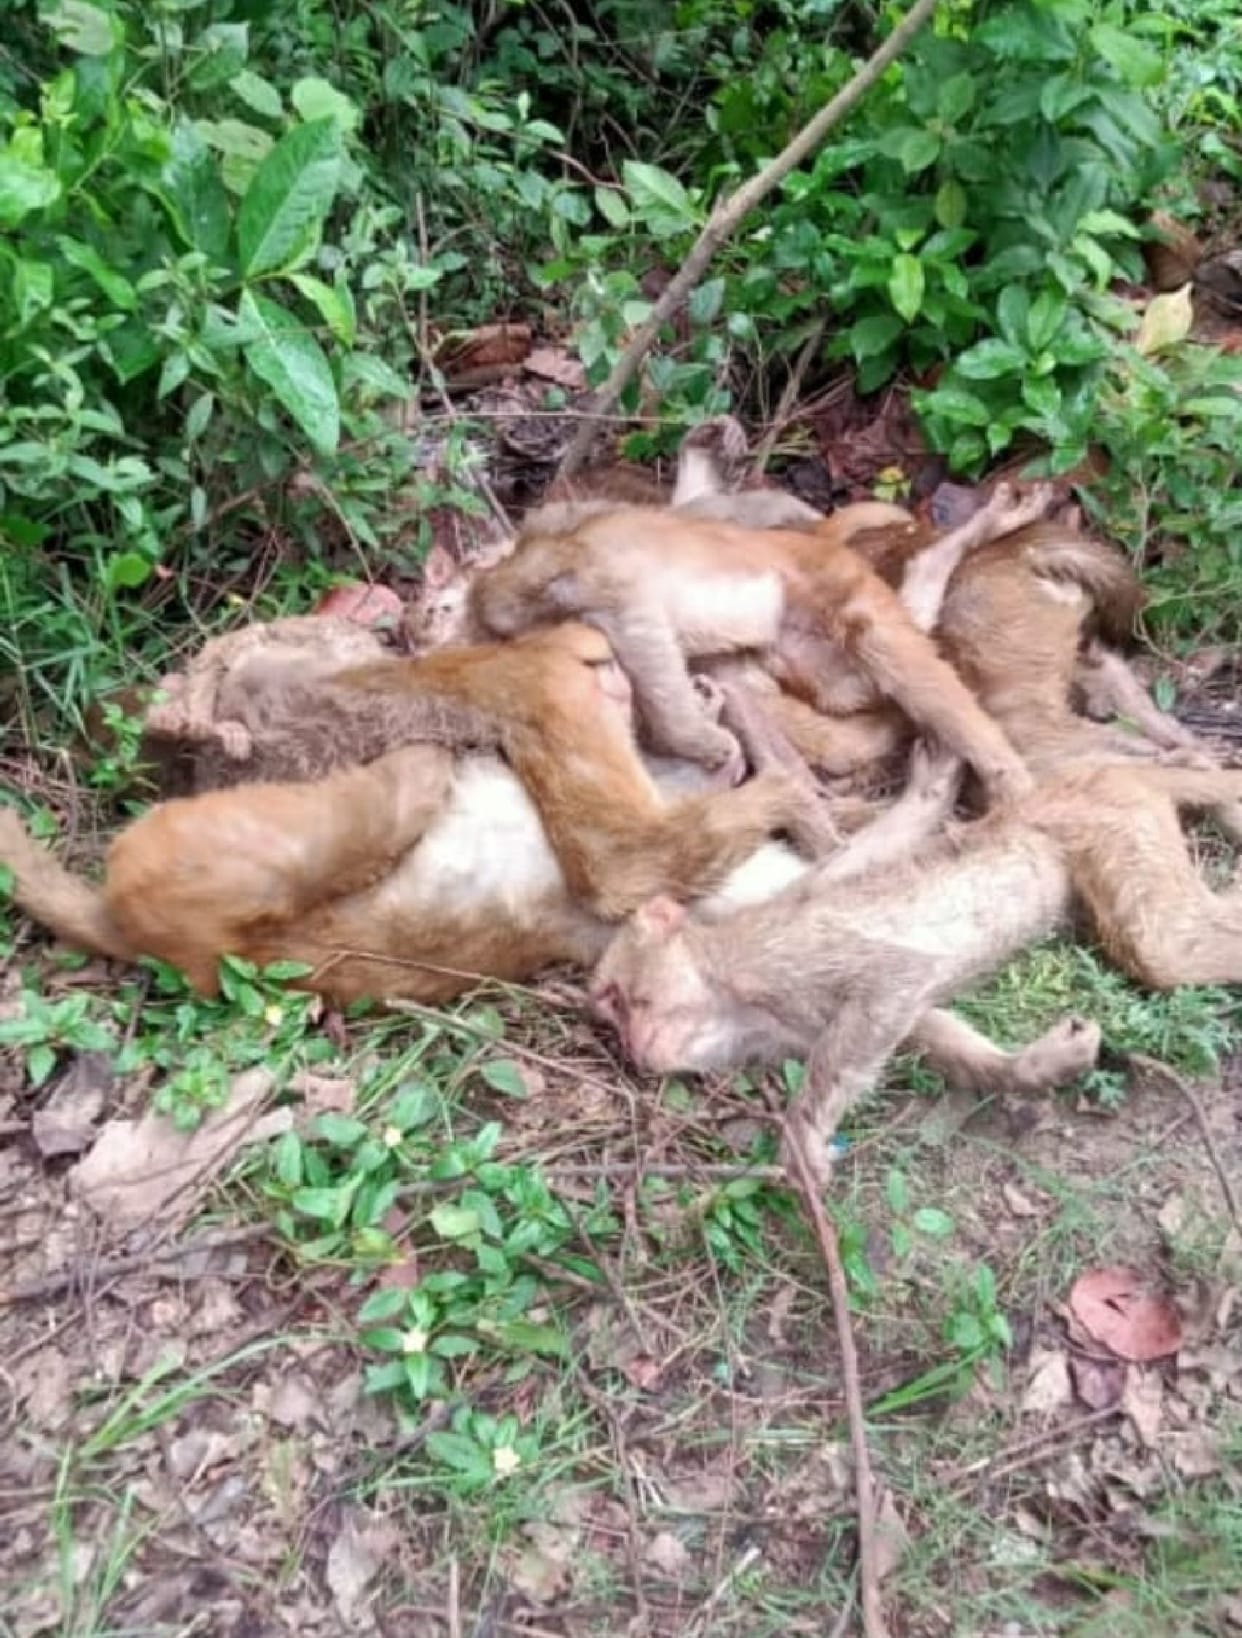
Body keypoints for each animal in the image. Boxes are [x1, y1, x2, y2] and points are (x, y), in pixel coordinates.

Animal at [589, 759, 1242, 1184]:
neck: (729, 995)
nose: (629, 1045)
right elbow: (927, 1026)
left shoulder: (776, 955)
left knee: (1165, 948)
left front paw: (802, 1133)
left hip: (1108, 820)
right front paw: (1036, 1066)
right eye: (609, 1020)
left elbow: (893, 977)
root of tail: (1110, 771)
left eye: (620, 1000)